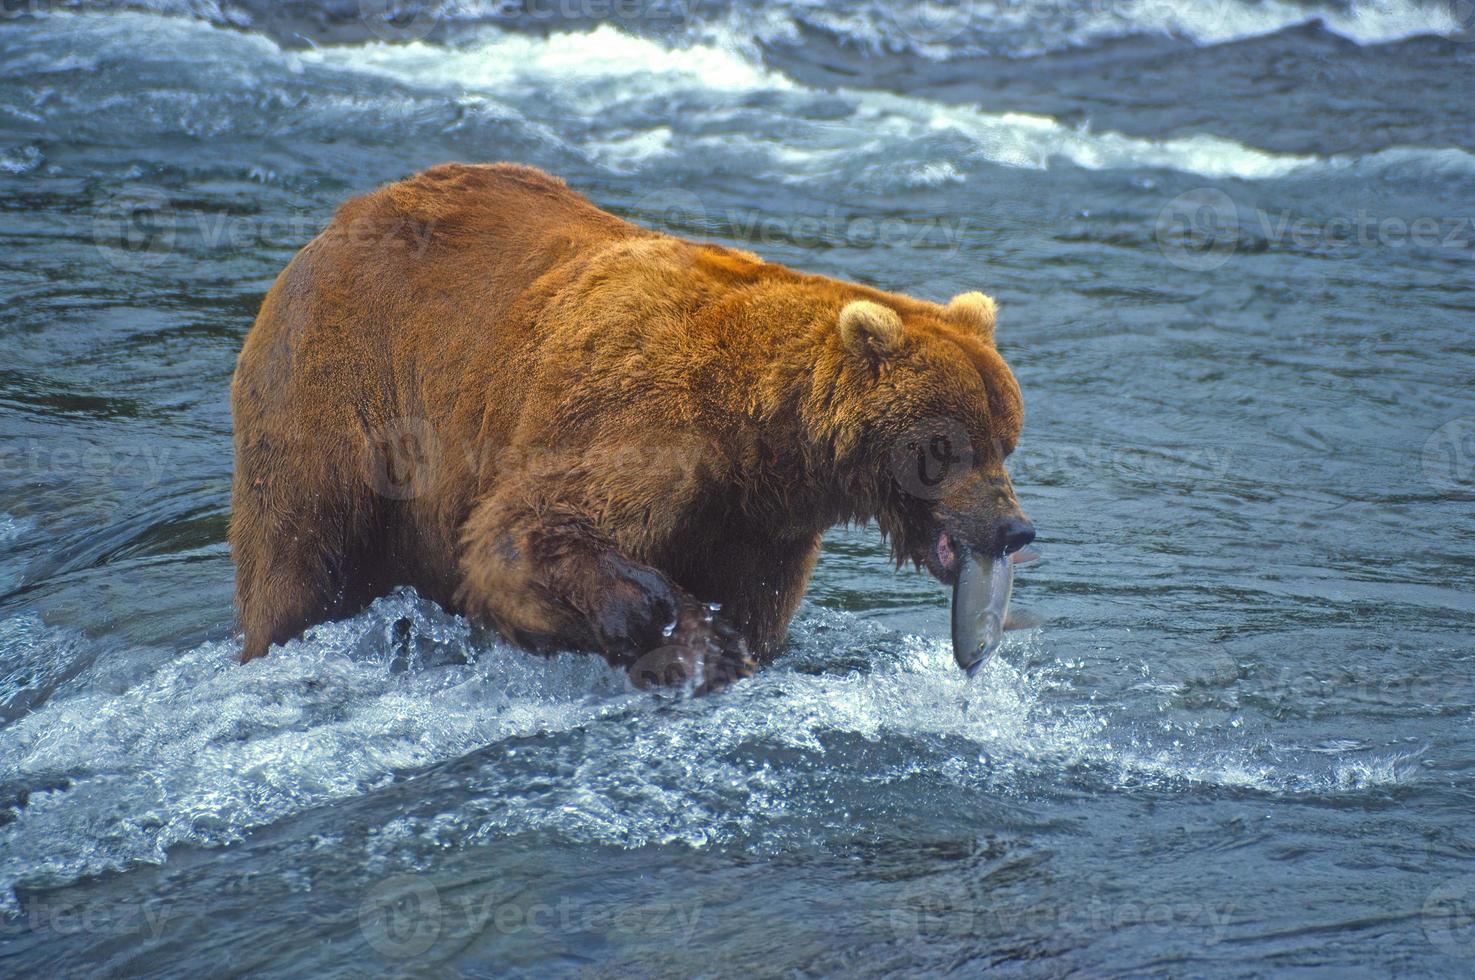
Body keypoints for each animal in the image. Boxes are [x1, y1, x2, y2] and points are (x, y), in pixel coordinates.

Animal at [233, 164, 1038, 693]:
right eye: (948, 447)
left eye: (1006, 439)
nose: (1014, 530)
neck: (757, 436)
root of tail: (338, 221)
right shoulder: (634, 415)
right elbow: (523, 532)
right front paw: (686, 631)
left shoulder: (760, 524)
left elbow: (757, 605)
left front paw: (729, 643)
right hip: (341, 384)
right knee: (301, 552)